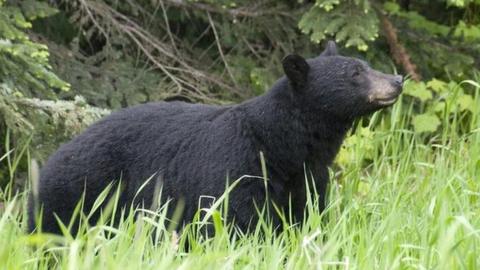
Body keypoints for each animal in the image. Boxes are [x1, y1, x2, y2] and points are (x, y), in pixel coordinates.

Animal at [26, 42, 402, 234]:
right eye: (355, 73)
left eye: (365, 64)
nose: (397, 80)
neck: (282, 146)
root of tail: (52, 157)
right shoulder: (236, 165)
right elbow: (235, 219)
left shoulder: (307, 177)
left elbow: (305, 215)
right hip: (81, 192)